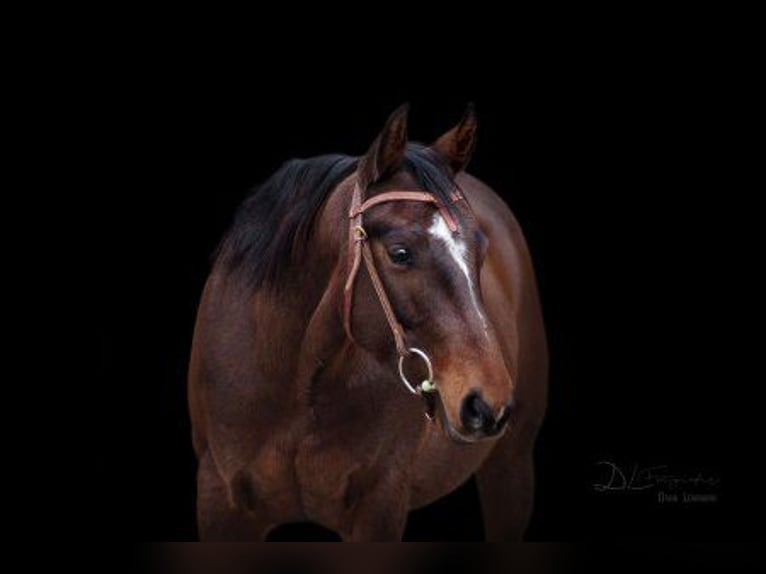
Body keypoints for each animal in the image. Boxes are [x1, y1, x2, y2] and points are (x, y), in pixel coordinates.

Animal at [188, 104, 548, 541]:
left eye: (480, 250)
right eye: (400, 252)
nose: (488, 402)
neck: (297, 386)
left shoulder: (379, 506)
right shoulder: (220, 501)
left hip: (510, 466)